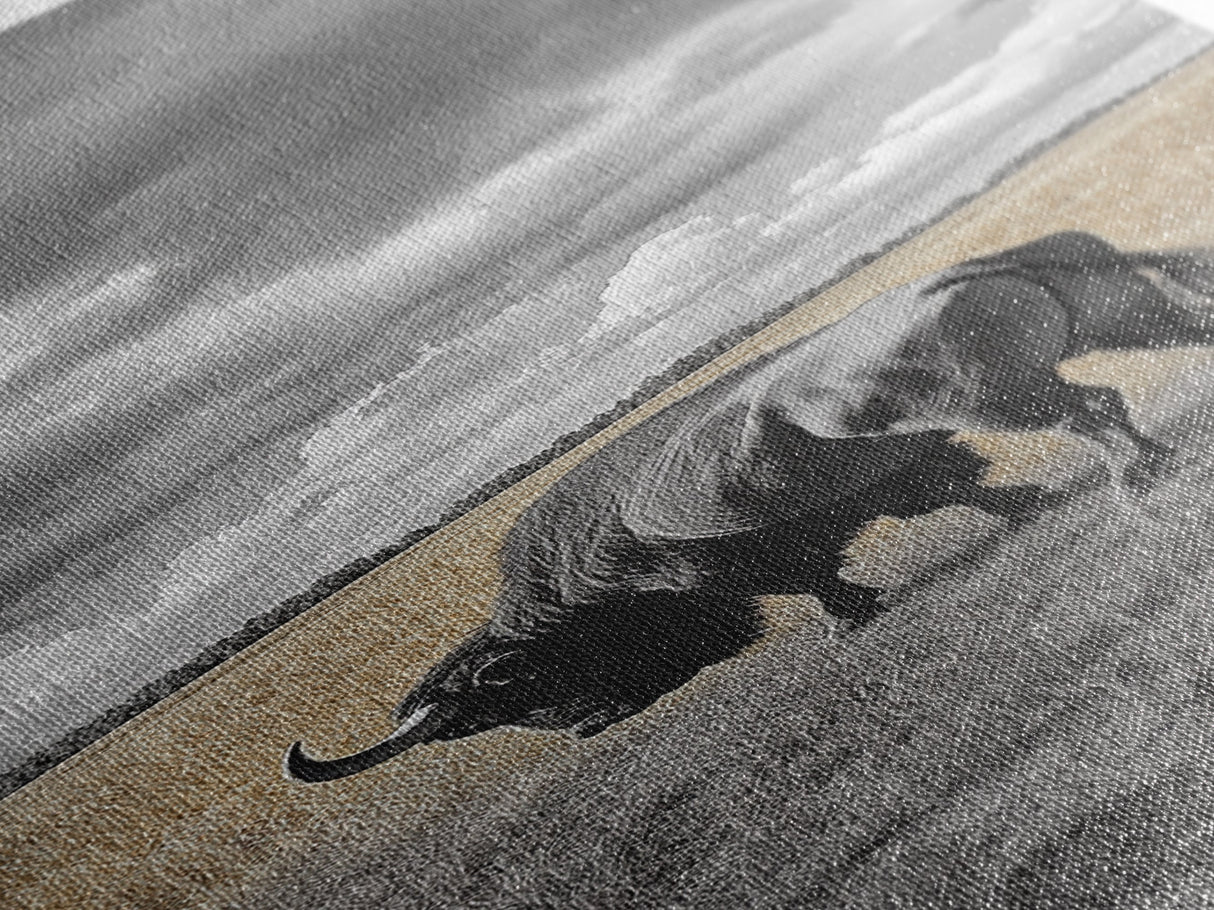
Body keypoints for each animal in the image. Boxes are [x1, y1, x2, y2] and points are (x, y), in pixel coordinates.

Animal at [285, 231, 1214, 782]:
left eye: (507, 697)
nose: (589, 728)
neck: (587, 573)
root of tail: (961, 270)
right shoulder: (900, 474)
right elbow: (957, 487)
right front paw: (1023, 506)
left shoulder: (735, 562)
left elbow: (808, 576)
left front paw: (849, 618)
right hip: (1123, 318)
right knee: (1156, 353)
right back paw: (1152, 461)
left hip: (1013, 395)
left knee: (1089, 409)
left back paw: (1140, 476)